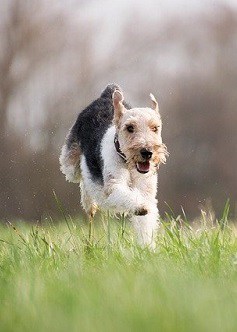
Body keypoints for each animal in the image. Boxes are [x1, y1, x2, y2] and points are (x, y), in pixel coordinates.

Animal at [59, 84, 168, 248]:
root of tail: (106, 94)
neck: (128, 164)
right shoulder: (114, 185)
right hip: (70, 165)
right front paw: (140, 207)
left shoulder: (147, 192)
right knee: (82, 178)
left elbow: (145, 222)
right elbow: (125, 195)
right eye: (130, 127)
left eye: (155, 128)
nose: (147, 152)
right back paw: (89, 203)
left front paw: (147, 247)